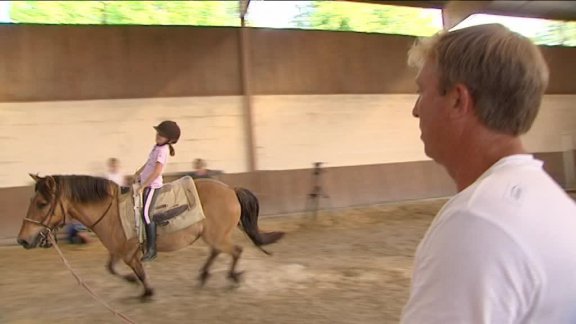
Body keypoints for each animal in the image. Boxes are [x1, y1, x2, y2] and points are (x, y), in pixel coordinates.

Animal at [14, 175, 284, 298]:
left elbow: (138, 271)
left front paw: (146, 292)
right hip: (212, 235)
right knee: (219, 252)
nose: (22, 240)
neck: (111, 211)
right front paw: (134, 284)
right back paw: (204, 276)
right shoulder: (117, 250)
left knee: (235, 251)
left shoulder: (129, 253)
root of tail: (230, 189)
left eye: (42, 203)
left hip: (217, 236)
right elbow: (110, 268)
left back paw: (232, 277)